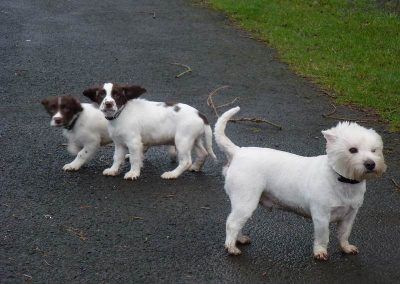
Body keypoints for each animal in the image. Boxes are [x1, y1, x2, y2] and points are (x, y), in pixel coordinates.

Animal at [216, 107, 388, 260]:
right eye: (352, 150)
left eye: (374, 150)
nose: (371, 164)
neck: (342, 178)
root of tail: (238, 152)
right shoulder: (321, 215)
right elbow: (323, 236)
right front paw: (320, 252)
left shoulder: (350, 215)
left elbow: (344, 234)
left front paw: (346, 247)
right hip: (246, 200)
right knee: (232, 223)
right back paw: (231, 247)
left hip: (243, 203)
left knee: (236, 222)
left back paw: (240, 239)